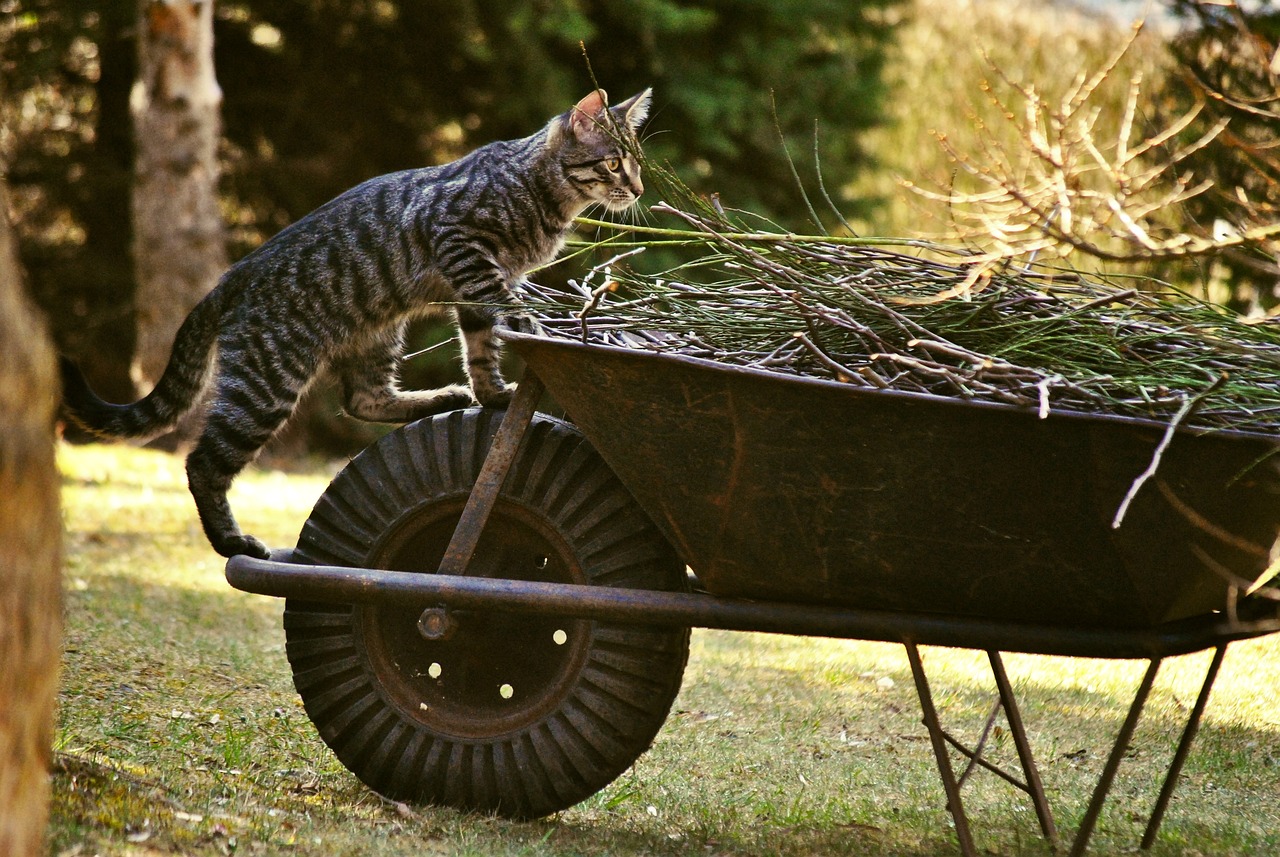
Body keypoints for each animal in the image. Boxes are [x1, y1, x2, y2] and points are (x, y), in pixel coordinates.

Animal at [60, 85, 650, 557]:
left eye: (638, 162)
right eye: (614, 163)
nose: (641, 189)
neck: (541, 190)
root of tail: (227, 280)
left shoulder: (473, 283)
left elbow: (482, 346)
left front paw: (494, 394)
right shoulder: (464, 249)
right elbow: (508, 313)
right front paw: (540, 341)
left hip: (378, 333)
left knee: (362, 399)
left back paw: (441, 398)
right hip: (267, 383)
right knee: (203, 461)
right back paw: (230, 541)